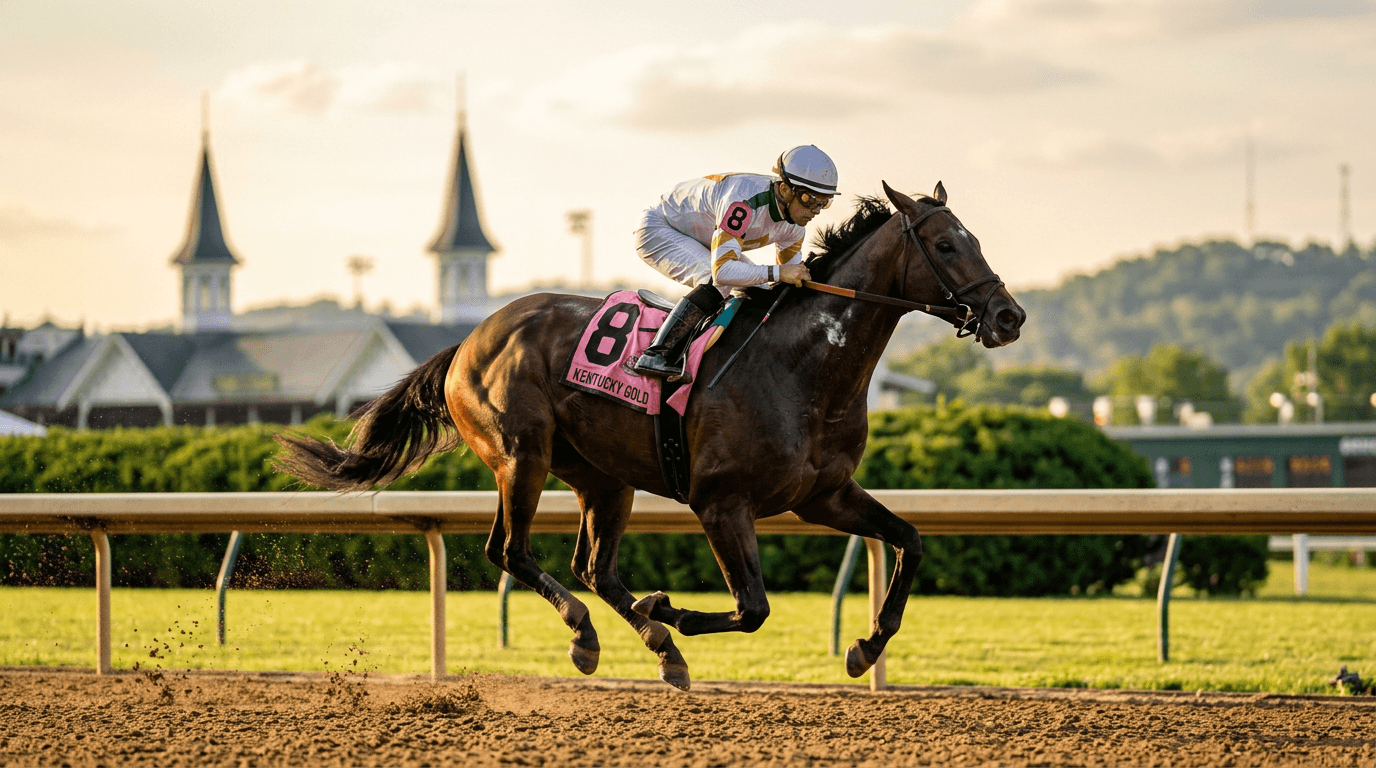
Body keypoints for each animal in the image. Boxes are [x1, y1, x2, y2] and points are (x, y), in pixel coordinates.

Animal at [275, 181, 1026, 690]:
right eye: (947, 244)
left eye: (976, 239)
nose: (1009, 316)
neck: (803, 366)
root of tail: (470, 339)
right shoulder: (721, 503)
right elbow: (752, 607)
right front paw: (674, 608)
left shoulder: (824, 496)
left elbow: (910, 541)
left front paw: (866, 647)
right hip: (522, 455)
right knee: (511, 550)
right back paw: (602, 633)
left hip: (602, 476)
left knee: (592, 566)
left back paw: (650, 643)